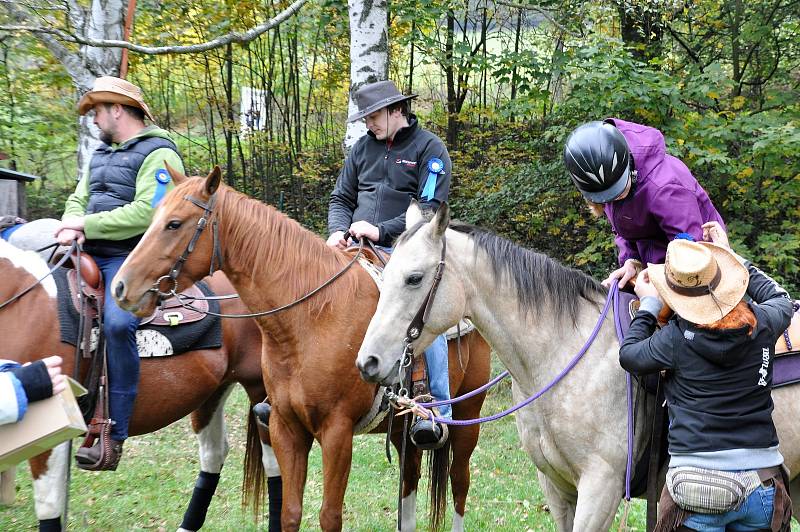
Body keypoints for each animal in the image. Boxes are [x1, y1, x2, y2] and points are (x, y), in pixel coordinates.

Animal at [0, 241, 276, 532]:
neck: (21, 302)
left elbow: (49, 504)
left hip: (263, 395)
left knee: (274, 464)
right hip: (212, 393)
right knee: (214, 454)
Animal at [109, 166, 490, 532]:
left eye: (174, 224)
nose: (121, 287)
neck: (312, 320)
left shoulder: (337, 432)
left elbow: (329, 516)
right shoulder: (285, 426)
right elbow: (290, 512)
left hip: (468, 415)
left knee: (459, 484)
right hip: (402, 431)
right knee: (409, 483)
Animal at [356, 202, 800, 528]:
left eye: (415, 278)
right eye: (385, 272)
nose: (368, 361)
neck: (563, 355)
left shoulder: (600, 487)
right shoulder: (556, 485)